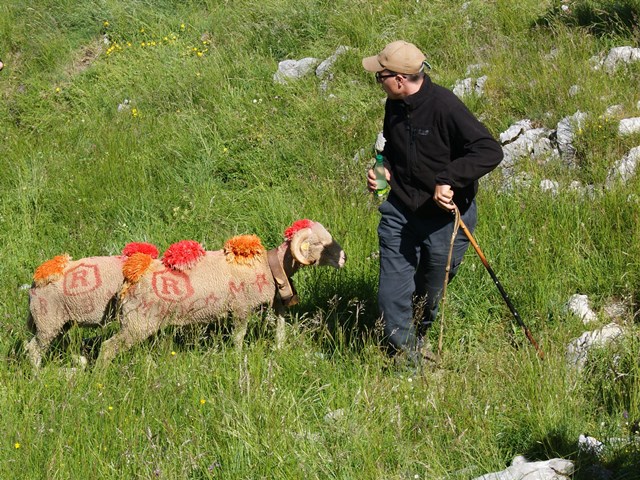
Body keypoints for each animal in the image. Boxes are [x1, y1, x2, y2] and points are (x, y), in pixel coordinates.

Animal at [25, 244, 159, 368]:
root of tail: (34, 285)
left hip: (61, 319)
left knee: (59, 340)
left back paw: (79, 359)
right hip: (47, 318)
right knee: (35, 347)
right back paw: (37, 373)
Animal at [96, 218, 344, 364]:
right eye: (318, 244)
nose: (344, 258)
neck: (266, 265)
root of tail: (133, 275)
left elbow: (280, 327)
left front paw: (279, 349)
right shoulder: (241, 307)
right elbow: (238, 336)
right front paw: (237, 358)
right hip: (138, 322)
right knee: (108, 348)